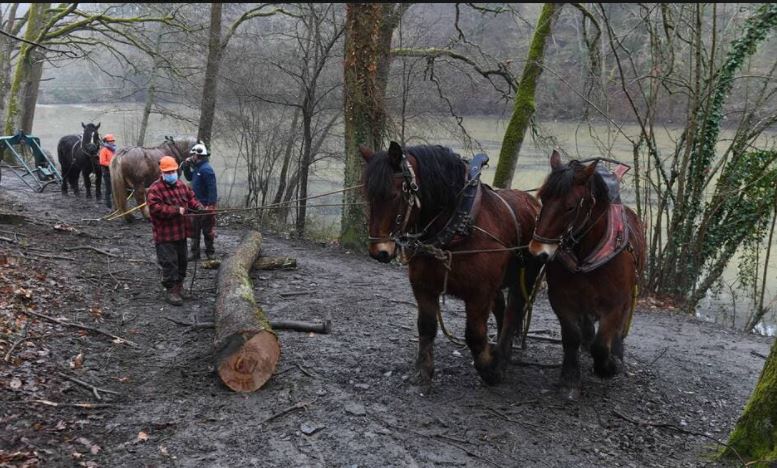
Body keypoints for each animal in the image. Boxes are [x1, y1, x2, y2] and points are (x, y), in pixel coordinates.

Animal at [360, 142, 544, 388]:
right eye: (368, 195)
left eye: (394, 194)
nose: (379, 251)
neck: (459, 224)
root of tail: (533, 203)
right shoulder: (423, 286)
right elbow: (426, 326)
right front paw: (424, 371)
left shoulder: (479, 293)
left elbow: (474, 335)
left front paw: (490, 369)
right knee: (501, 308)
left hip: (525, 276)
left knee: (513, 311)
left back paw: (502, 355)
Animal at [528, 152, 648, 400]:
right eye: (543, 198)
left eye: (570, 207)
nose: (538, 251)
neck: (587, 252)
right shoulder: (562, 299)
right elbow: (571, 336)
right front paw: (570, 378)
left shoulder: (614, 304)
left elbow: (602, 343)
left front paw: (608, 366)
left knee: (618, 329)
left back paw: (616, 353)